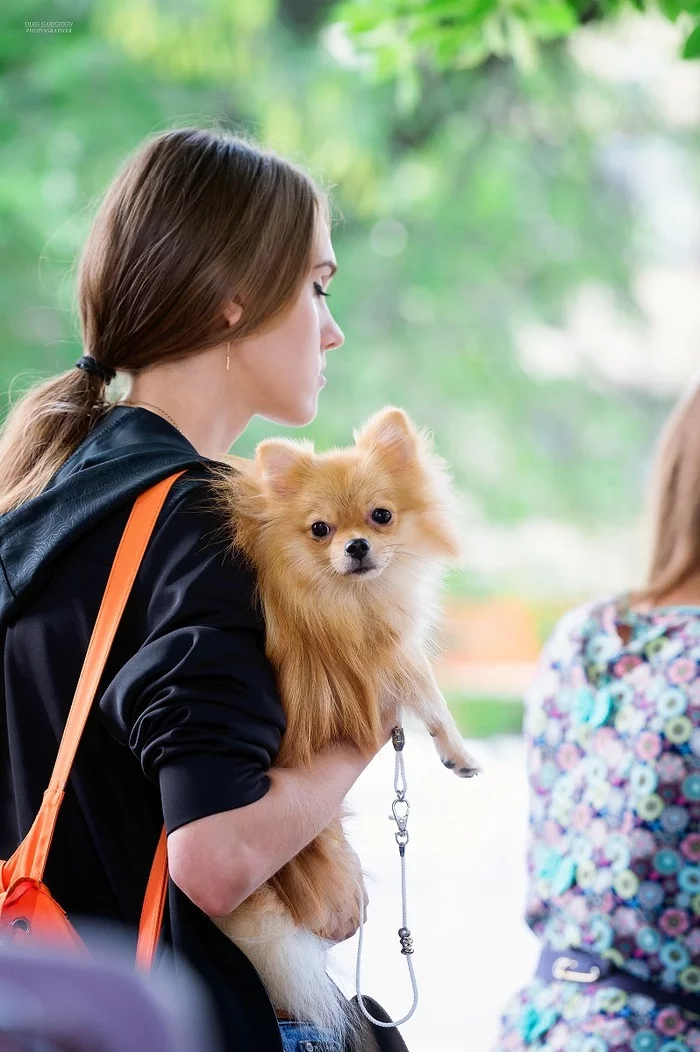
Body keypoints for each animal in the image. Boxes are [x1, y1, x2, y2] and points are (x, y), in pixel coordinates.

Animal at [207, 403, 480, 1035]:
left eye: (381, 516)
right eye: (320, 529)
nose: (357, 545)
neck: (348, 595)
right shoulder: (389, 653)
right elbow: (430, 691)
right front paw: (457, 751)